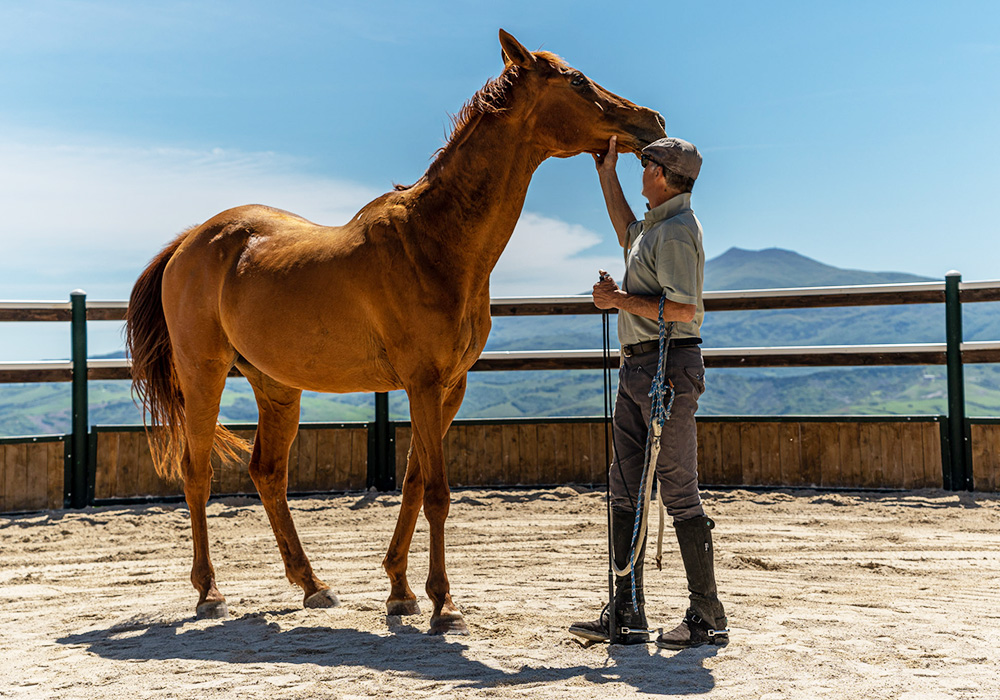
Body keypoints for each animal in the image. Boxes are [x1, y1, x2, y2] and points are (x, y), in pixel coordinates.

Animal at [129, 30, 668, 636]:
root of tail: (190, 243)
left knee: (267, 473)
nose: (651, 122)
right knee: (197, 474)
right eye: (576, 81)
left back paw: (313, 585)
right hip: (205, 374)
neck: (436, 241)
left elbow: (412, 484)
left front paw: (400, 592)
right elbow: (437, 493)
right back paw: (210, 593)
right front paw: (443, 605)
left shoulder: (446, 388)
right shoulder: (423, 384)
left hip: (277, 386)